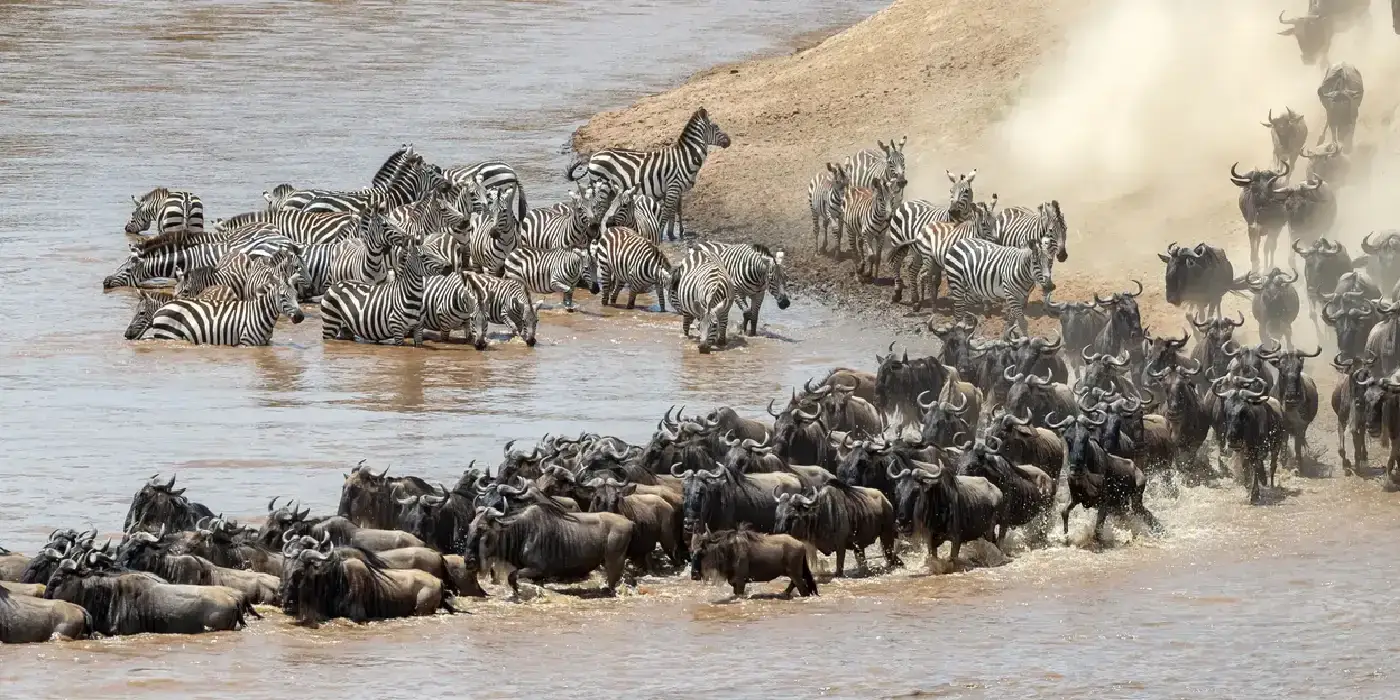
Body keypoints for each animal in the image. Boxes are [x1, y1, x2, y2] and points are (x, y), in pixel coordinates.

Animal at [134, 274, 305, 346]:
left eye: (296, 295)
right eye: (283, 296)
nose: (300, 317)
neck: (260, 314)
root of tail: (165, 306)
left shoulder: (265, 344)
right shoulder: (247, 344)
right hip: (168, 337)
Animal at [568, 107, 731, 239]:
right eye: (716, 127)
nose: (729, 141)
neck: (686, 157)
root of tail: (593, 156)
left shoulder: (677, 189)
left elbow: (677, 212)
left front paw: (675, 234)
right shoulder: (673, 187)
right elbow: (666, 213)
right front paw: (662, 235)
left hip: (609, 192)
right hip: (602, 188)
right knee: (598, 214)